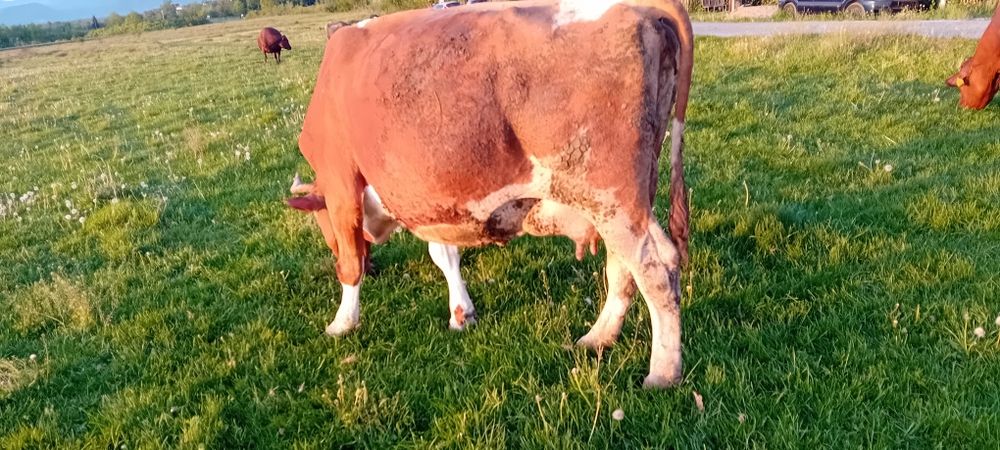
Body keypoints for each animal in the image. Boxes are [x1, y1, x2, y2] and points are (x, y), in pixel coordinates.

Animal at [292, 0, 693, 388]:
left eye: (320, 219)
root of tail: (639, 8)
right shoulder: (439, 199)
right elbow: (444, 254)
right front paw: (461, 313)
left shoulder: (340, 180)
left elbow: (350, 263)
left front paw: (342, 323)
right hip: (623, 201)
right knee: (632, 266)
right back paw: (597, 338)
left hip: (612, 199)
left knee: (654, 271)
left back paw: (662, 373)